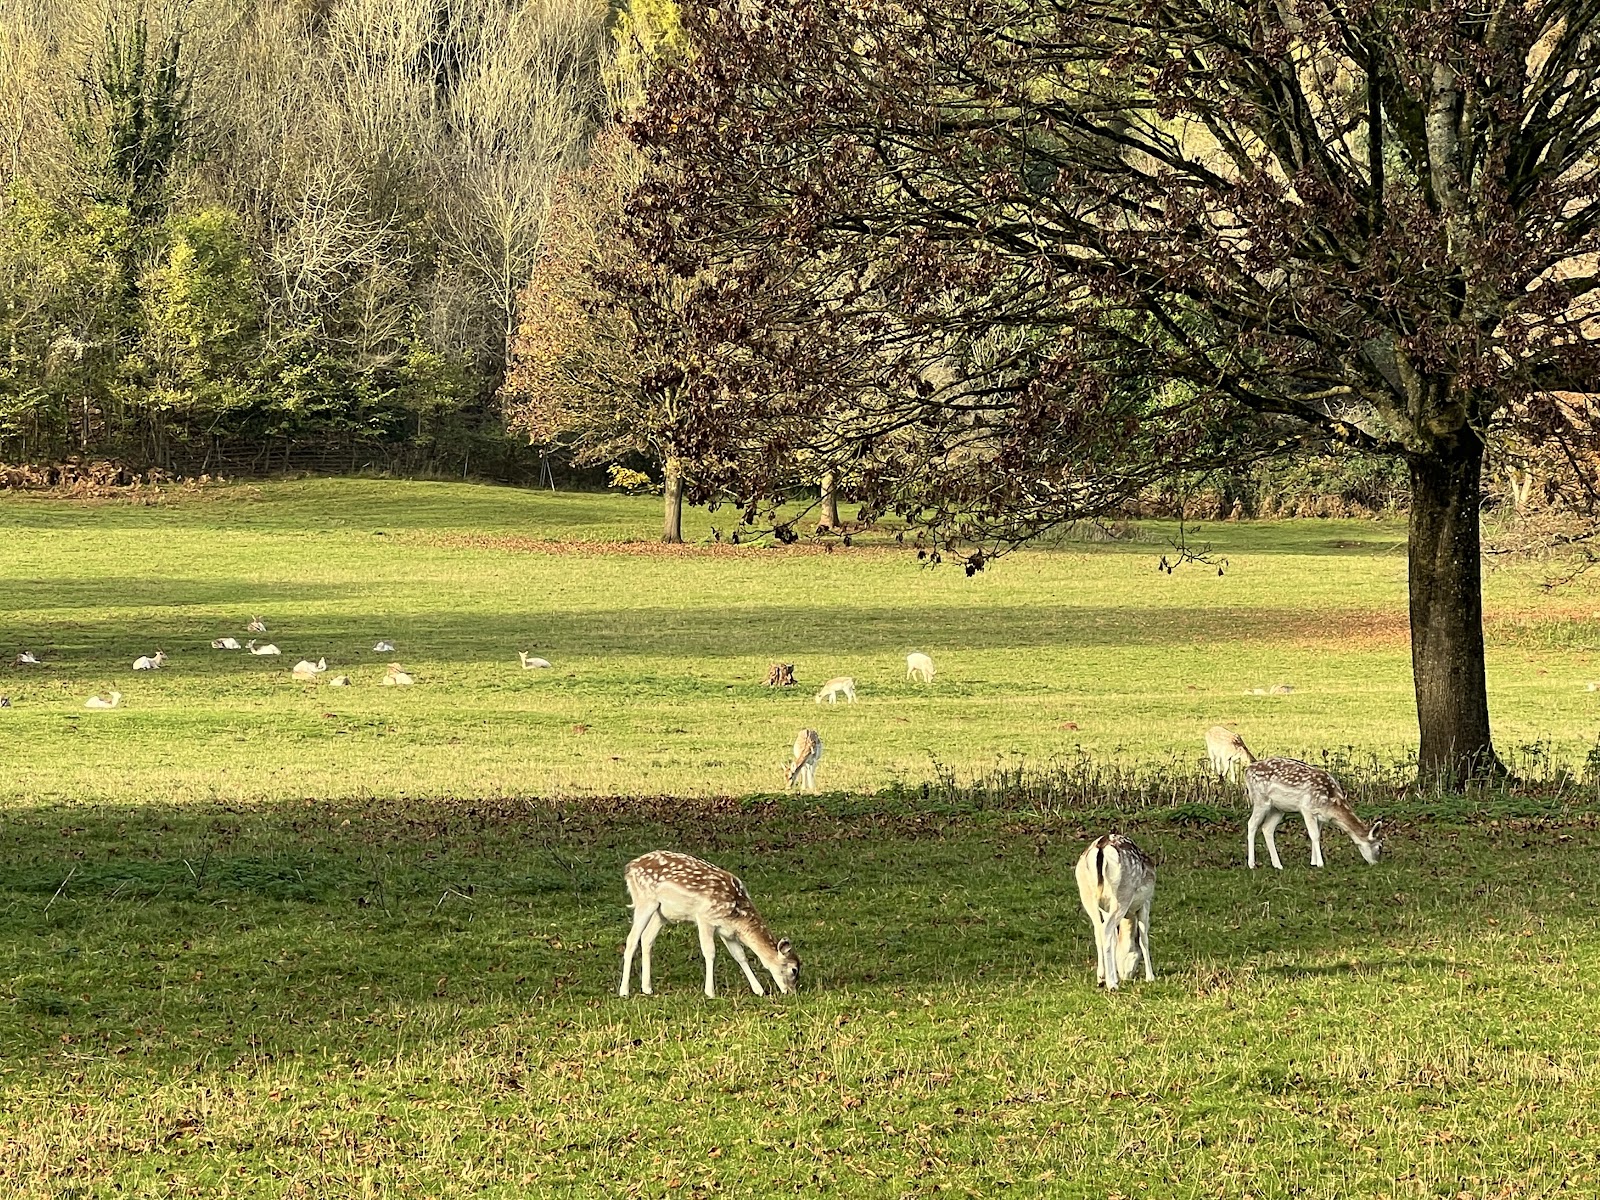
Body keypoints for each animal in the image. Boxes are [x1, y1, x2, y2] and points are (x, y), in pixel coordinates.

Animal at [618, 851, 800, 999]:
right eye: (794, 970)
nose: (792, 992)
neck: (737, 915)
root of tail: (629, 867)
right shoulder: (705, 918)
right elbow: (710, 952)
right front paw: (710, 992)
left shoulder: (727, 930)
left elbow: (740, 955)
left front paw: (759, 990)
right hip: (645, 900)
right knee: (632, 940)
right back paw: (624, 991)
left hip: (662, 913)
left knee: (647, 938)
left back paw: (647, 988)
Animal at [1074, 833, 1156, 990]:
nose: (1126, 977)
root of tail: (1101, 847)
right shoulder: (1145, 902)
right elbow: (1144, 939)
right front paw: (1150, 977)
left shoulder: (1105, 909)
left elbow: (1114, 940)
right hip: (1122, 894)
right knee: (1106, 929)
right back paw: (1112, 984)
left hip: (1086, 893)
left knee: (1098, 931)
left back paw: (1101, 978)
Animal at [1244, 758, 1383, 869]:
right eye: (1379, 847)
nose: (1376, 864)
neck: (1331, 804)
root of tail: (1247, 769)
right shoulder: (1307, 808)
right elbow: (1314, 835)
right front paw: (1320, 864)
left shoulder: (1320, 816)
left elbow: (1317, 835)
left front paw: (1313, 862)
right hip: (1261, 800)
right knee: (1251, 824)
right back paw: (1251, 864)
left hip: (1278, 808)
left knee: (1267, 828)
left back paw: (1278, 865)